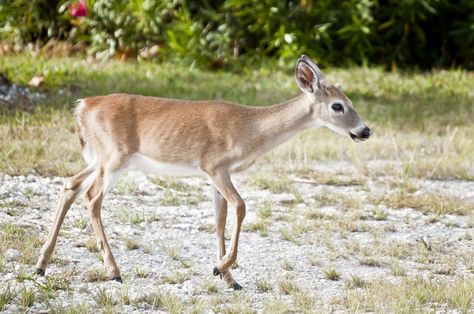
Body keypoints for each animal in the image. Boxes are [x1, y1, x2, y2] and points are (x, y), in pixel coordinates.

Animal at [36, 55, 370, 290]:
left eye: (352, 102)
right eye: (337, 106)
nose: (365, 131)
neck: (249, 129)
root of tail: (82, 106)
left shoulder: (214, 175)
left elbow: (220, 219)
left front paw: (228, 277)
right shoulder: (214, 165)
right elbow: (240, 207)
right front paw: (221, 268)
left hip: (99, 158)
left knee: (70, 184)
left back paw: (41, 264)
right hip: (115, 157)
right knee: (92, 198)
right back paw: (114, 272)